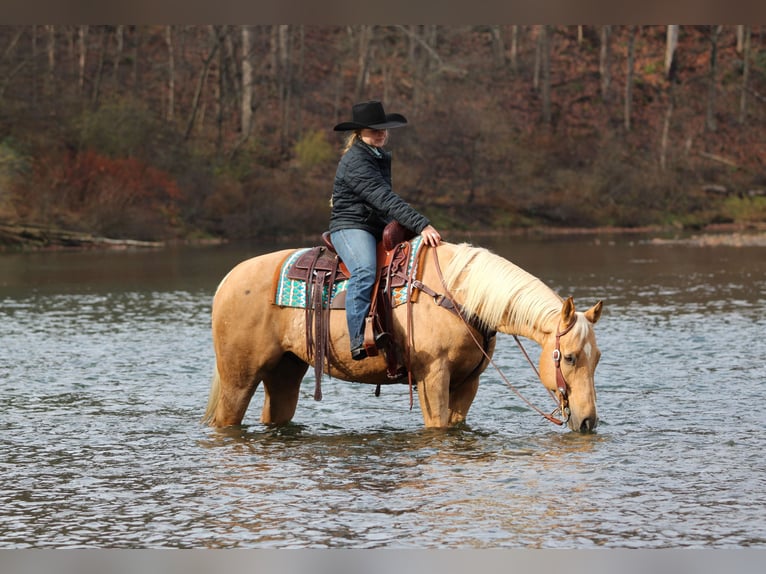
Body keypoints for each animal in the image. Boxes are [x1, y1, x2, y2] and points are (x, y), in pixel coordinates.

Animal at [203, 241, 603, 432]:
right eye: (569, 357)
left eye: (597, 359)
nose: (588, 422)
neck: (456, 293)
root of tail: (227, 280)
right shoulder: (432, 377)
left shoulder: (467, 384)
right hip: (239, 378)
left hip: (284, 372)